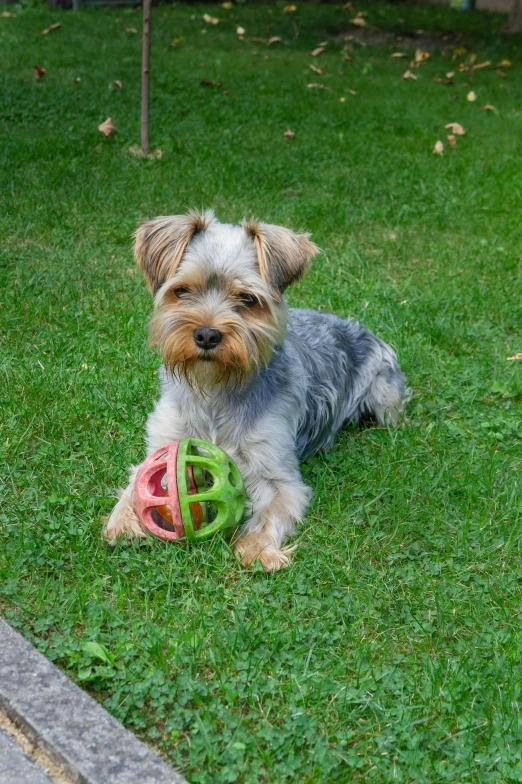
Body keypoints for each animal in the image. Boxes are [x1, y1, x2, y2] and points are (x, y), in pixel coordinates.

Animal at [104, 211, 406, 572]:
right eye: (182, 290)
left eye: (247, 299)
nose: (207, 335)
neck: (215, 388)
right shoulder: (166, 444)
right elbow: (139, 480)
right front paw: (124, 519)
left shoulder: (277, 473)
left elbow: (273, 509)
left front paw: (257, 549)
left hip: (385, 393)